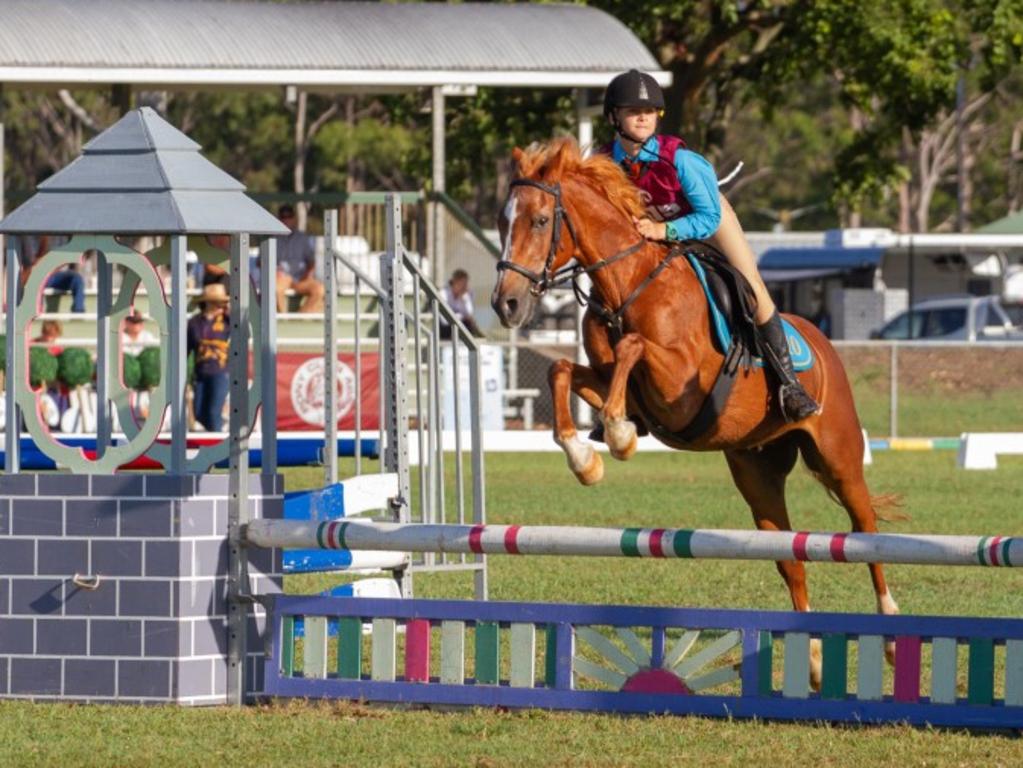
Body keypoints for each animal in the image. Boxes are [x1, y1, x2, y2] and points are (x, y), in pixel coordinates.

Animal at [491, 137, 900, 683]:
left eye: (539, 220)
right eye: (502, 220)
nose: (507, 305)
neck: (627, 285)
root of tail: (821, 340)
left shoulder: (682, 383)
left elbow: (634, 347)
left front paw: (617, 436)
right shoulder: (614, 383)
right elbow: (562, 370)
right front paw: (586, 457)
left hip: (837, 455)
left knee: (866, 531)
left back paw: (892, 634)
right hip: (757, 472)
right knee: (790, 559)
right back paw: (811, 660)